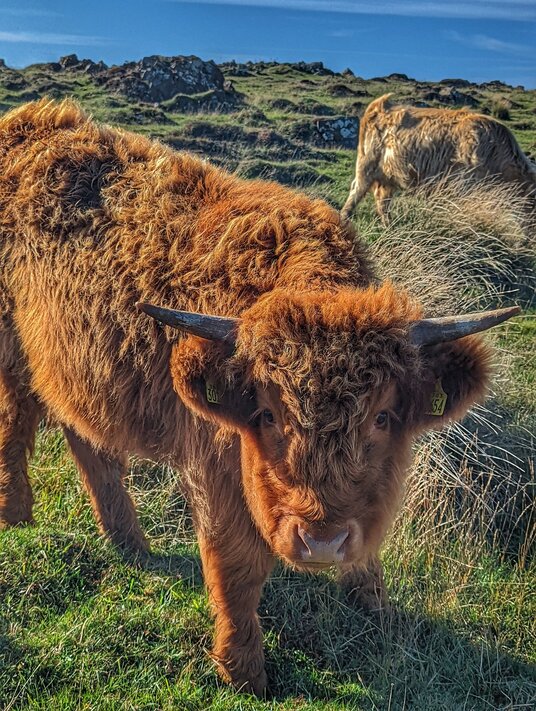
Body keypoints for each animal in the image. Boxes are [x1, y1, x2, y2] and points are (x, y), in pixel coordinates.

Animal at [0, 100, 519, 695]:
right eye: (267, 415)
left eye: (383, 417)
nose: (321, 542)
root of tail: (30, 121)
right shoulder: (216, 466)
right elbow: (237, 566)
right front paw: (243, 670)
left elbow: (369, 543)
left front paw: (378, 611)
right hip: (11, 349)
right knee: (16, 423)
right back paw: (16, 514)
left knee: (88, 441)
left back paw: (128, 540)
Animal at [341, 93, 536, 223]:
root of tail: (379, 105)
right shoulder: (462, 186)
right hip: (366, 165)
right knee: (356, 190)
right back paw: (344, 218)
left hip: (389, 175)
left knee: (382, 200)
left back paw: (390, 225)